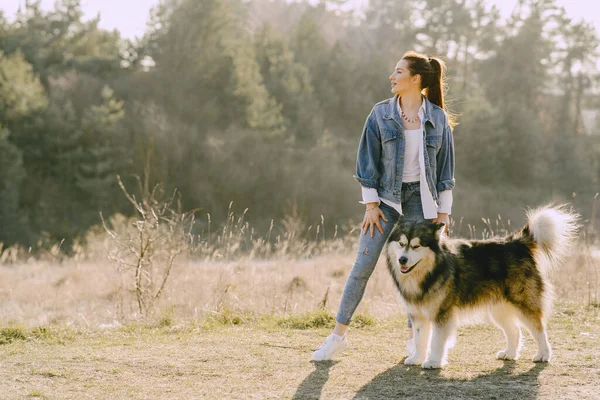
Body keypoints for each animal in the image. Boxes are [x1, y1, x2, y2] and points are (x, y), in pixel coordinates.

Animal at [386, 206, 580, 368]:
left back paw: (543, 354)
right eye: (401, 244)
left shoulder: (443, 313)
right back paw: (510, 353)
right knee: (515, 331)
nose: (402, 260)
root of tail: (516, 242)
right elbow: (420, 340)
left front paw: (433, 361)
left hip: (523, 302)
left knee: (539, 329)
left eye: (416, 246)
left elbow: (437, 340)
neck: (429, 272)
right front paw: (417, 358)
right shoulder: (418, 314)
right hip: (499, 308)